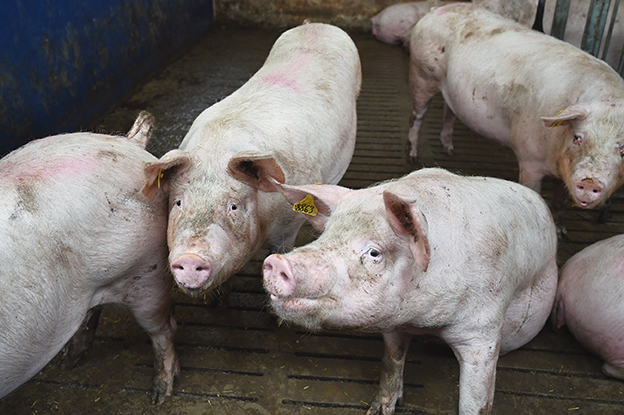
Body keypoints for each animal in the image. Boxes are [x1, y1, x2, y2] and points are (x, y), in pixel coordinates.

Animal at [0, 113, 178, 404]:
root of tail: (129, 144)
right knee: (92, 311)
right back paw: (69, 362)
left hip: (146, 272)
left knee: (161, 331)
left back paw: (160, 395)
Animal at [140, 22, 360, 296]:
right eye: (179, 203)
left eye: (233, 206)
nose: (190, 259)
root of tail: (316, 25)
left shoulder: (290, 223)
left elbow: (280, 250)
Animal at [262, 167, 556, 414]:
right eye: (326, 235)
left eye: (374, 253)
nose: (277, 262)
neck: (424, 321)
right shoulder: (393, 319)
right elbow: (391, 362)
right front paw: (378, 410)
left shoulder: (484, 332)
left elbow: (476, 403)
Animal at [408, 3, 624, 210]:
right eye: (577, 138)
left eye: (623, 150)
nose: (590, 181)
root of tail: (436, 10)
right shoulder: (529, 158)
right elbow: (533, 191)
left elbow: (559, 201)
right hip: (422, 73)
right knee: (418, 115)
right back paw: (413, 155)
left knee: (449, 111)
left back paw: (450, 150)